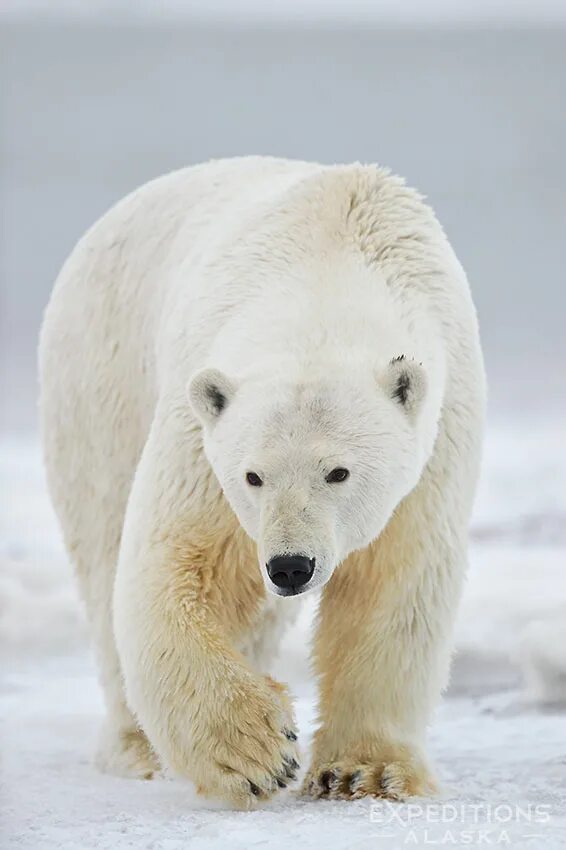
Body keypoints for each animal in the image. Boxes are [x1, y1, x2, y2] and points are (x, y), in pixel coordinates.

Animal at [37, 157, 486, 808]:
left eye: (338, 471)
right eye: (253, 474)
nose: (290, 566)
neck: (329, 259)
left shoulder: (439, 432)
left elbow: (395, 582)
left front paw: (364, 772)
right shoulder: (200, 431)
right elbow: (173, 559)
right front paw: (257, 751)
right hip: (100, 378)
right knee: (102, 549)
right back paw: (137, 747)